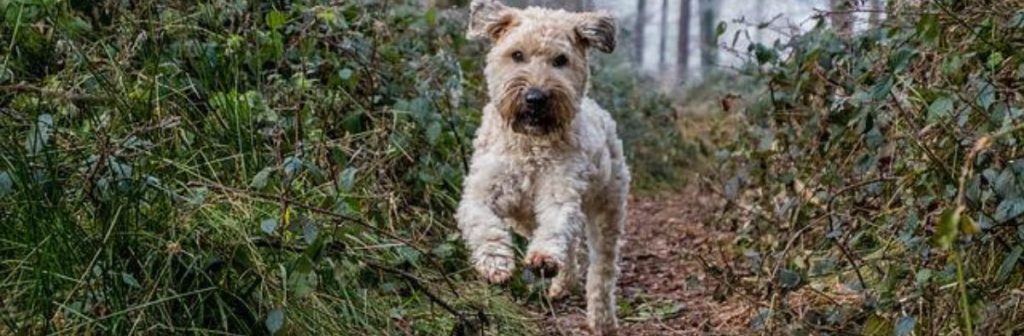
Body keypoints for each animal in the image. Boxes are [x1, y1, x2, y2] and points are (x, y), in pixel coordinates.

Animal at [458, 1, 630, 333]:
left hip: (608, 208)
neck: (531, 145)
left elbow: (556, 225)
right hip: (523, 217)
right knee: (570, 246)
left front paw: (543, 257)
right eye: (517, 54)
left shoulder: (560, 190)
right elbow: (482, 222)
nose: (535, 97)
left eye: (560, 60)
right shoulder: (482, 190)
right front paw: (495, 261)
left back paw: (601, 317)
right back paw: (563, 283)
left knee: (601, 270)